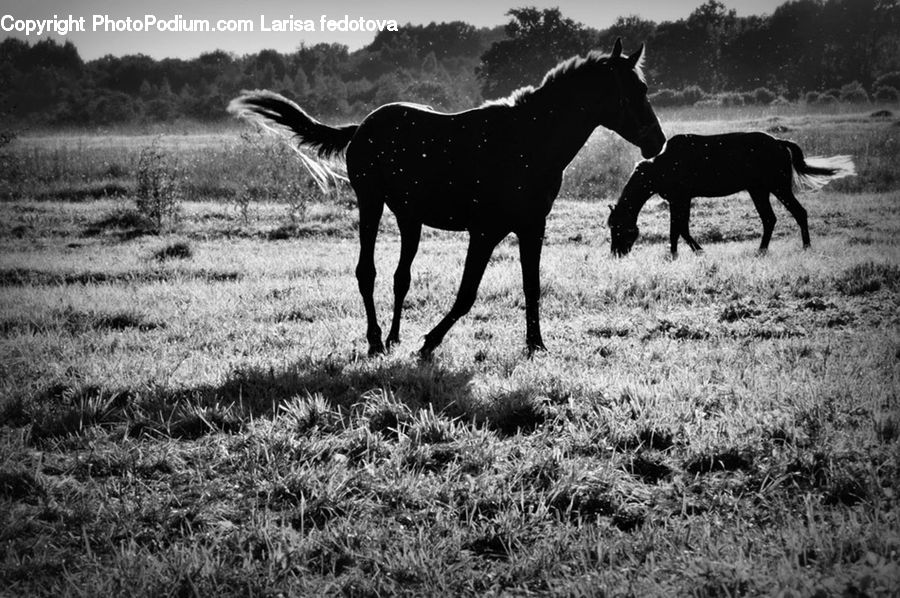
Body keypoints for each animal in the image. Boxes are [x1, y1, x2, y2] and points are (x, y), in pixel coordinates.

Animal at [230, 39, 666, 359]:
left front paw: (536, 346)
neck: (526, 142)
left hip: (409, 218)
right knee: (367, 272)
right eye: (633, 91)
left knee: (400, 277)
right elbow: (467, 293)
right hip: (370, 203)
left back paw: (393, 338)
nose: (657, 142)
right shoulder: (485, 231)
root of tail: (363, 126)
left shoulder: (531, 227)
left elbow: (532, 286)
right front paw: (429, 343)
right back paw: (375, 341)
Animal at [607, 132, 855, 256]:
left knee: (798, 212)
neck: (661, 165)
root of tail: (779, 142)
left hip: (778, 188)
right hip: (759, 190)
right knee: (770, 219)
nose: (616, 253)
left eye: (617, 228)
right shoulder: (677, 200)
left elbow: (680, 228)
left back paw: (806, 247)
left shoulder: (681, 198)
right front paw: (676, 254)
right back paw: (762, 250)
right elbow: (676, 229)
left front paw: (695, 251)